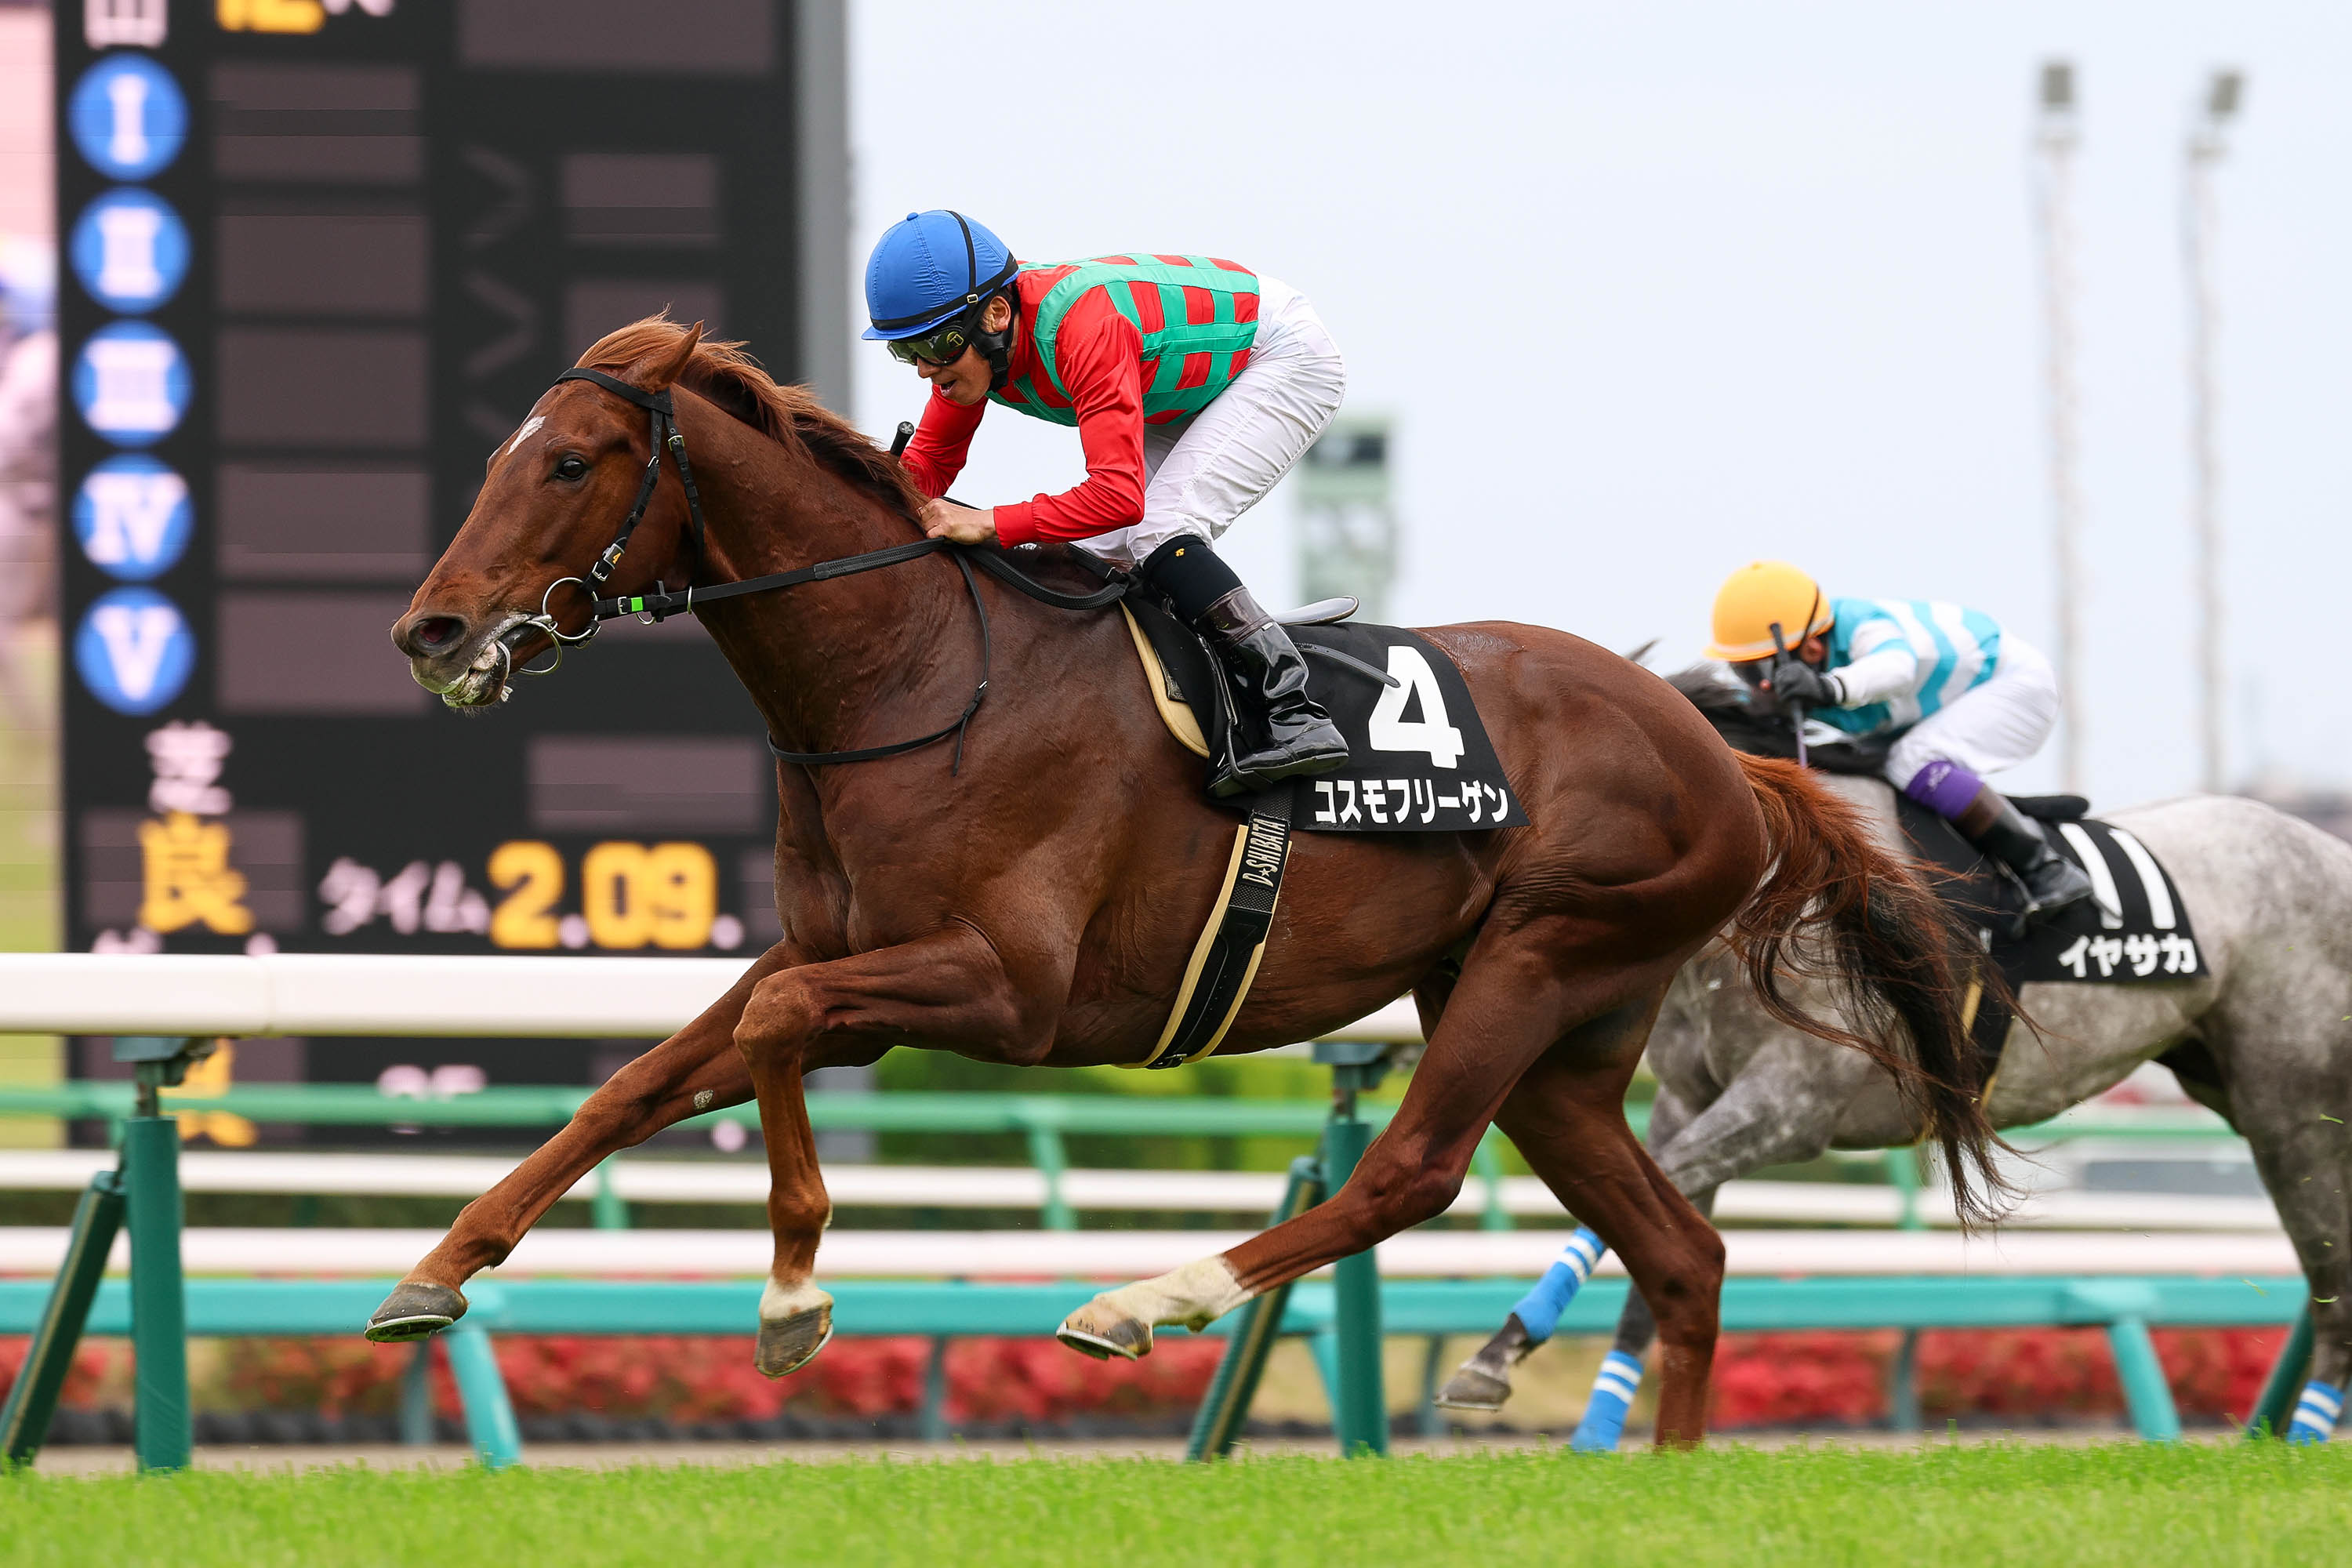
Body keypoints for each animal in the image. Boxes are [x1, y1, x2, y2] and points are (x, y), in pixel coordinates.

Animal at [367, 317, 2000, 1448]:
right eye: (503, 456)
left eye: (570, 461)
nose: (431, 631)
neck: (914, 672)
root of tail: (1721, 754)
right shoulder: (823, 956)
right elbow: (640, 1079)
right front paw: (438, 1268)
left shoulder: (1001, 990)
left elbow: (764, 1045)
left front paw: (790, 1302)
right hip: (1567, 1038)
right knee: (1685, 1254)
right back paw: (1666, 1471)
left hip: (1545, 951)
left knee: (1413, 1171)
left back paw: (1143, 1300)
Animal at [1441, 666, 2352, 1446]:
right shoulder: (1689, 1096)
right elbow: (1650, 1235)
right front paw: (1580, 1418)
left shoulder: (1790, 1108)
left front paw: (1498, 1359)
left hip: (2290, 1112)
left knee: (2331, 1274)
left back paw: (2304, 1437)